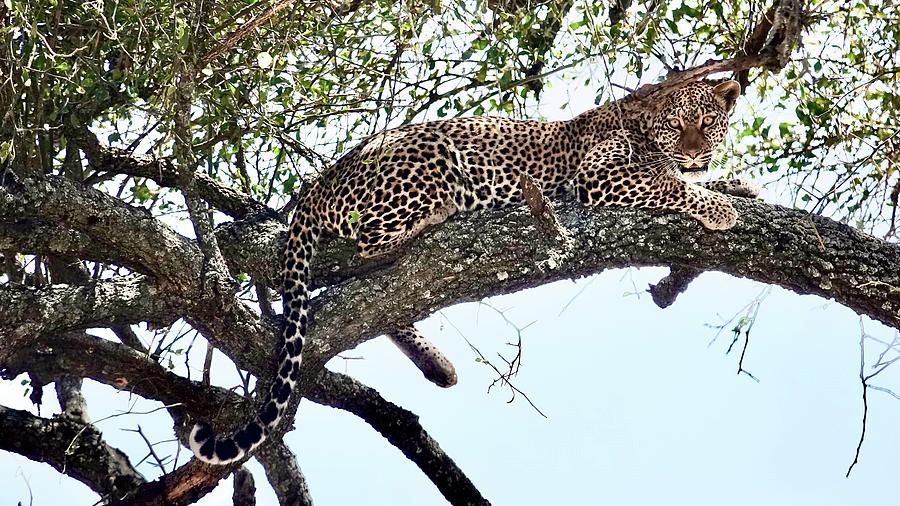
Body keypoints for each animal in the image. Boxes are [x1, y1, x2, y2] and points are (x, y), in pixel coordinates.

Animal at [190, 78, 752, 462]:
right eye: (677, 125)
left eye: (708, 123)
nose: (695, 150)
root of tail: (318, 183)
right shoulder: (601, 175)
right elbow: (668, 183)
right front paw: (720, 207)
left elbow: (696, 180)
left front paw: (738, 186)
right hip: (428, 161)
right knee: (370, 249)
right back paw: (440, 217)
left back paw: (437, 362)